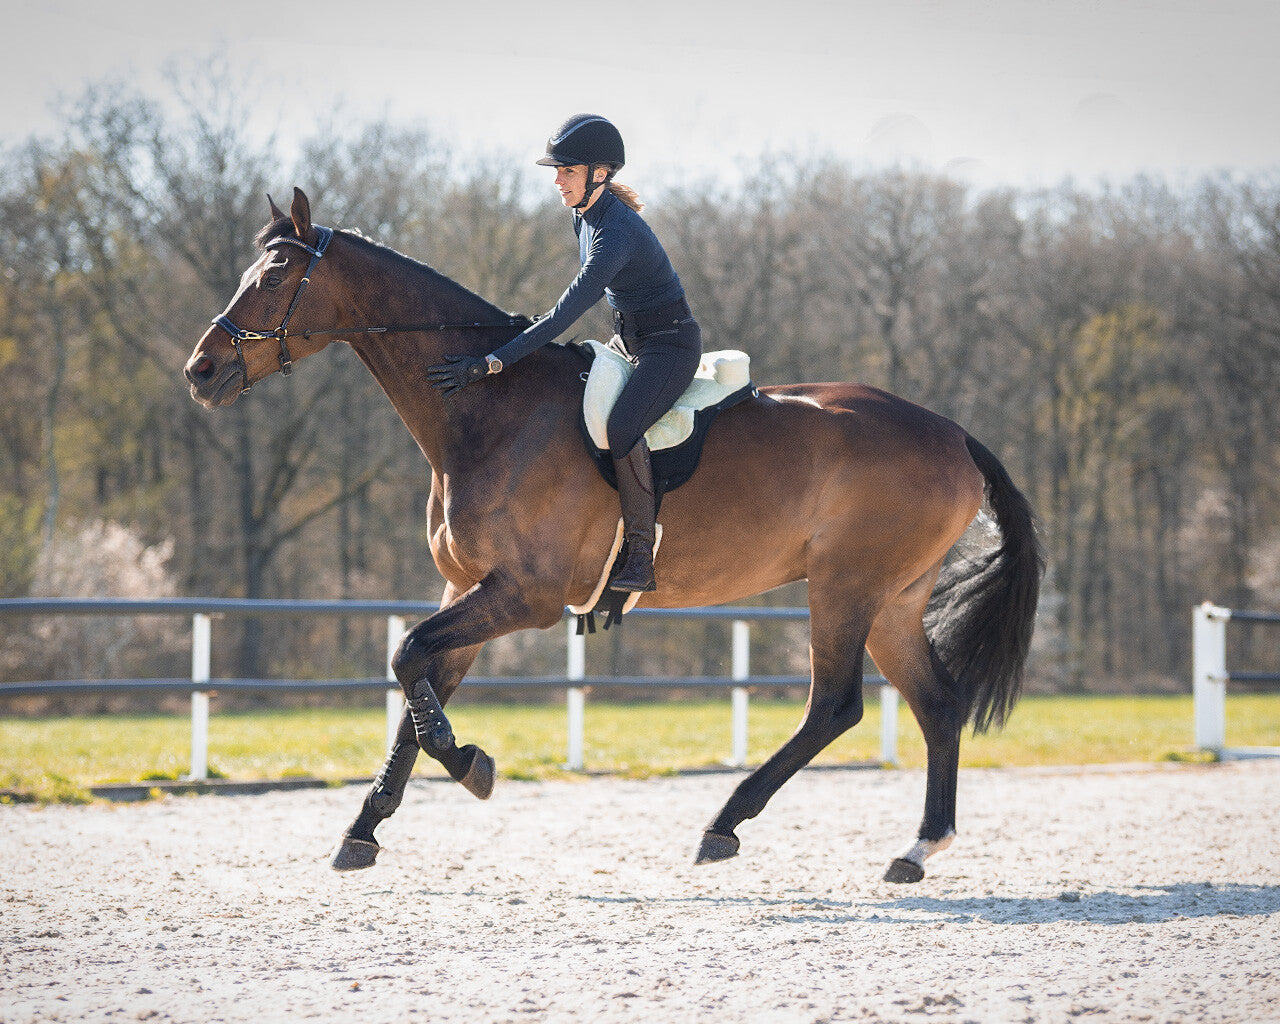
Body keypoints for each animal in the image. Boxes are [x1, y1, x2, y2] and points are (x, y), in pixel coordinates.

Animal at [184, 187, 1042, 883]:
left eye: (271, 279)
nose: (200, 370)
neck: (486, 411)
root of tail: (954, 433)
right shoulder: (466, 587)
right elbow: (416, 680)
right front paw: (365, 830)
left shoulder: (523, 596)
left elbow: (408, 658)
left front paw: (469, 764)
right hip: (894, 600)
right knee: (937, 703)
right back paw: (917, 849)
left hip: (846, 587)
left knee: (834, 708)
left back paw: (724, 825)